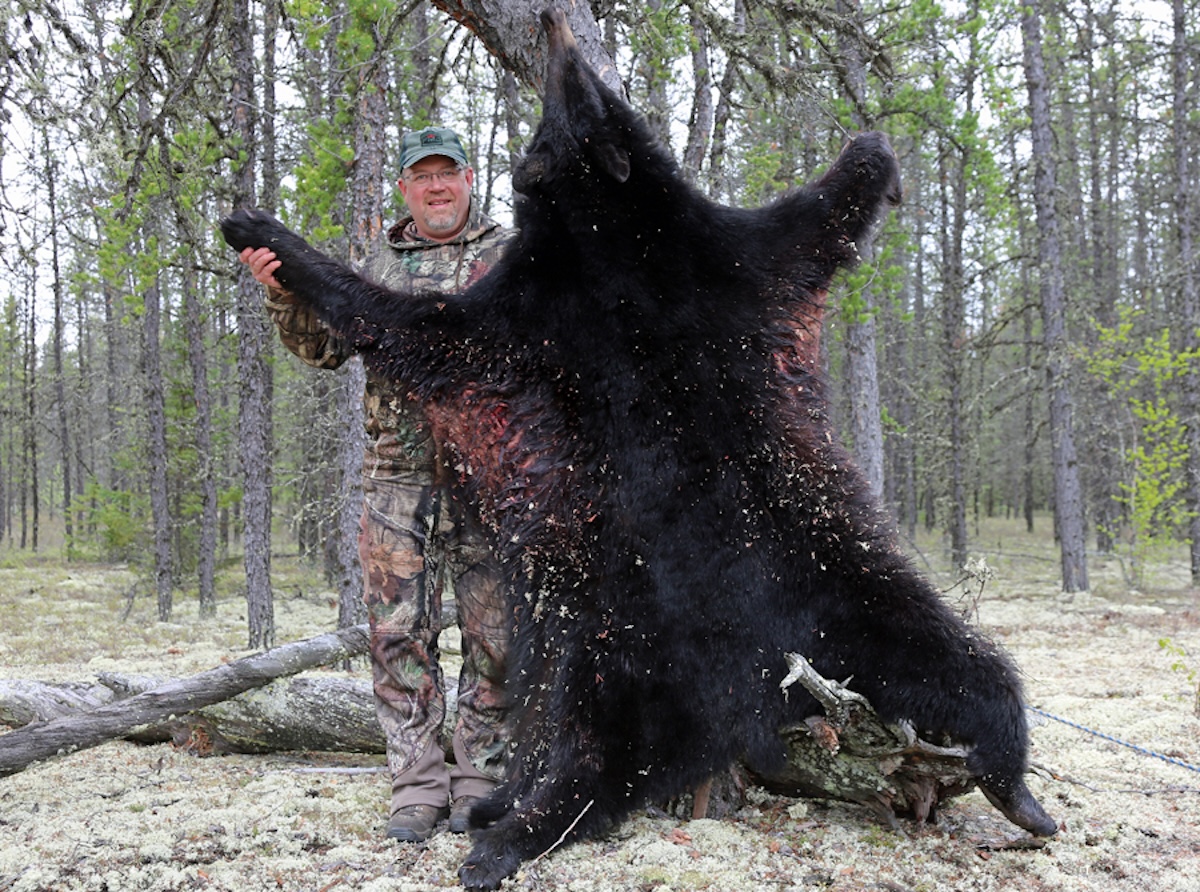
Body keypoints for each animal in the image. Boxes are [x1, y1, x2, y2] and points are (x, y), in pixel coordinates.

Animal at [222, 8, 1056, 889]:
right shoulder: (643, 281)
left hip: (810, 598)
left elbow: (415, 326)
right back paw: (501, 811)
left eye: (572, 98)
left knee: (974, 679)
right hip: (668, 624)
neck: (616, 233)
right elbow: (414, 325)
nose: (554, 21)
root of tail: (755, 689)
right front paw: (262, 235)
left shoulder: (694, 267)